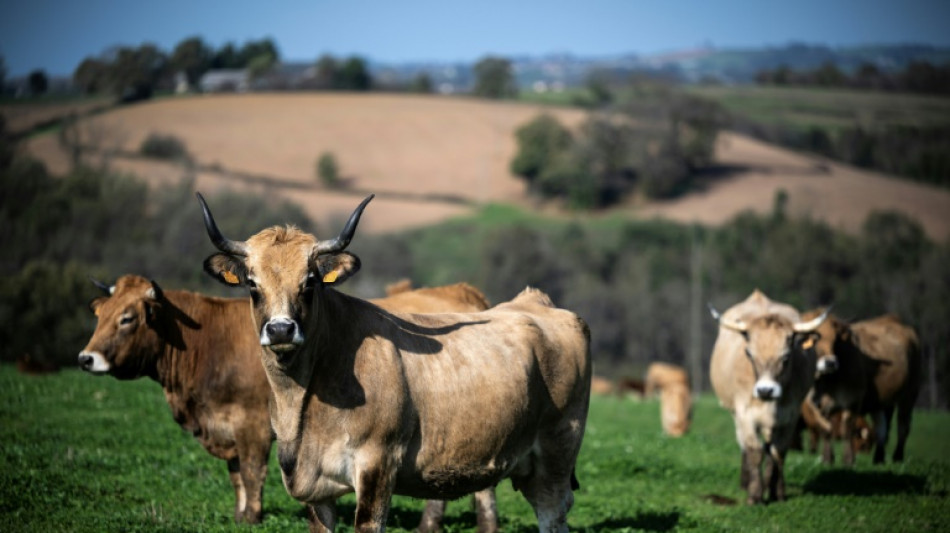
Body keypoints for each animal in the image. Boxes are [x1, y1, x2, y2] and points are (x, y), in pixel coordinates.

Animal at [77, 274, 274, 524]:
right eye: (100, 316)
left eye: (126, 319)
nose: (86, 359)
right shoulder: (227, 427)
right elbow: (237, 475)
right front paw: (239, 516)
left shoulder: (253, 423)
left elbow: (251, 471)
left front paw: (251, 517)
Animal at [196, 192, 592, 532]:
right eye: (252, 284)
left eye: (309, 282)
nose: (280, 329)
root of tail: (534, 302)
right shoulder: (316, 488)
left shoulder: (377, 465)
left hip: (556, 454)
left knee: (552, 512)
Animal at [712, 290, 828, 502]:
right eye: (749, 354)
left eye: (786, 356)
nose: (765, 390)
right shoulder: (745, 414)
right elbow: (754, 451)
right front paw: (755, 494)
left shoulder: (790, 416)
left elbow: (778, 452)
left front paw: (777, 491)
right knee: (744, 445)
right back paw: (745, 482)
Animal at [804, 310, 924, 464]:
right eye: (813, 340)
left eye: (835, 340)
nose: (830, 363)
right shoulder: (819, 405)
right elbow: (825, 428)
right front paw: (827, 458)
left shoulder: (853, 400)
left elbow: (848, 428)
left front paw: (848, 459)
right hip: (880, 402)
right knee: (881, 428)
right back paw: (878, 458)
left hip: (909, 395)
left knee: (903, 425)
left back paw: (897, 457)